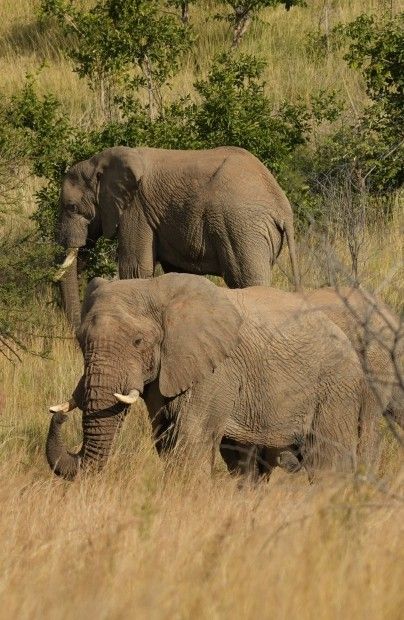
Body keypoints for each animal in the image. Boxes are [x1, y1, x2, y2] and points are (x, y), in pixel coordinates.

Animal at [46, 274, 371, 482]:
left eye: (138, 342)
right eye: (80, 341)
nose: (58, 415)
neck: (153, 287)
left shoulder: (215, 371)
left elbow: (190, 438)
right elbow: (167, 440)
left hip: (336, 386)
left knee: (327, 462)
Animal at [54, 145, 300, 330]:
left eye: (72, 207)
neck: (99, 161)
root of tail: (282, 207)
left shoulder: (136, 210)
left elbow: (134, 268)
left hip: (241, 226)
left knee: (246, 279)